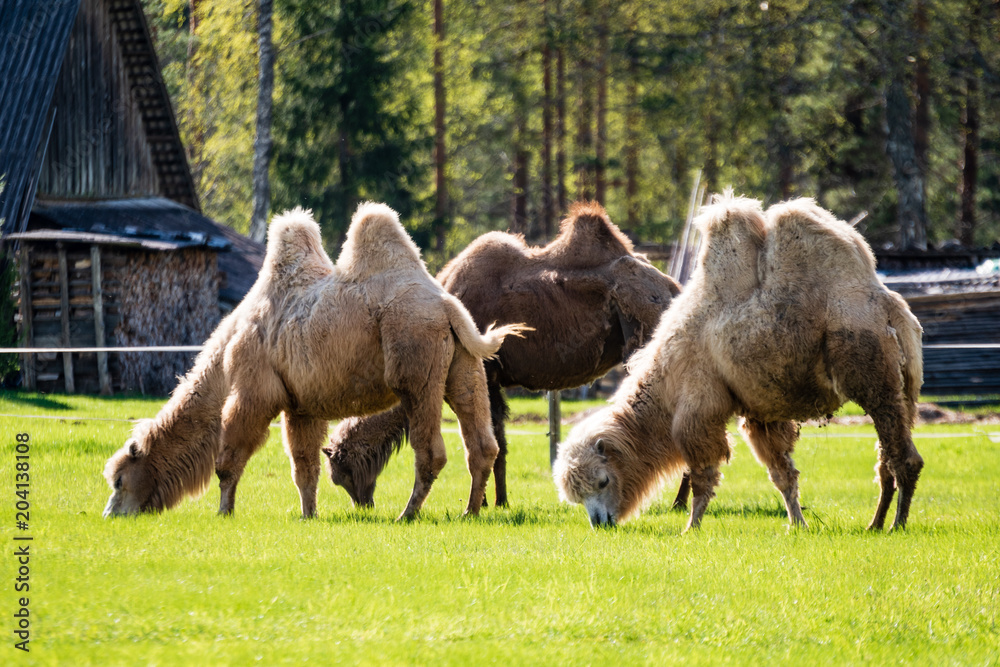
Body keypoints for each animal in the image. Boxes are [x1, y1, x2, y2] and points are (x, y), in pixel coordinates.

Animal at [103, 203, 526, 521]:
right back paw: (470, 511)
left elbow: (229, 456)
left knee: (431, 447)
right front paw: (309, 514)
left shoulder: (255, 388)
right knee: (481, 441)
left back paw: (407, 514)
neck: (224, 357)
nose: (111, 514)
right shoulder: (301, 403)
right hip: (465, 362)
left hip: (414, 353)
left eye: (119, 480)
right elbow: (304, 465)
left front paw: (224, 512)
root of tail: (446, 305)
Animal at [323, 202, 681, 508]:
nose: (363, 505)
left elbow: (494, 438)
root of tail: (672, 289)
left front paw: (490, 501)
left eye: (341, 472)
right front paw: (498, 500)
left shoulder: (489, 372)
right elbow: (500, 440)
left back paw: (678, 503)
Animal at [554, 194, 924, 532]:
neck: (667, 380)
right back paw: (875, 524)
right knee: (887, 458)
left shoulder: (699, 409)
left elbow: (703, 475)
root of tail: (889, 307)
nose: (600, 522)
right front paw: (798, 524)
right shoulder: (762, 413)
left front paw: (691, 527)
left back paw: (897, 525)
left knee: (904, 458)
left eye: (603, 480)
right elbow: (782, 474)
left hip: (870, 370)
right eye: (577, 496)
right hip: (904, 385)